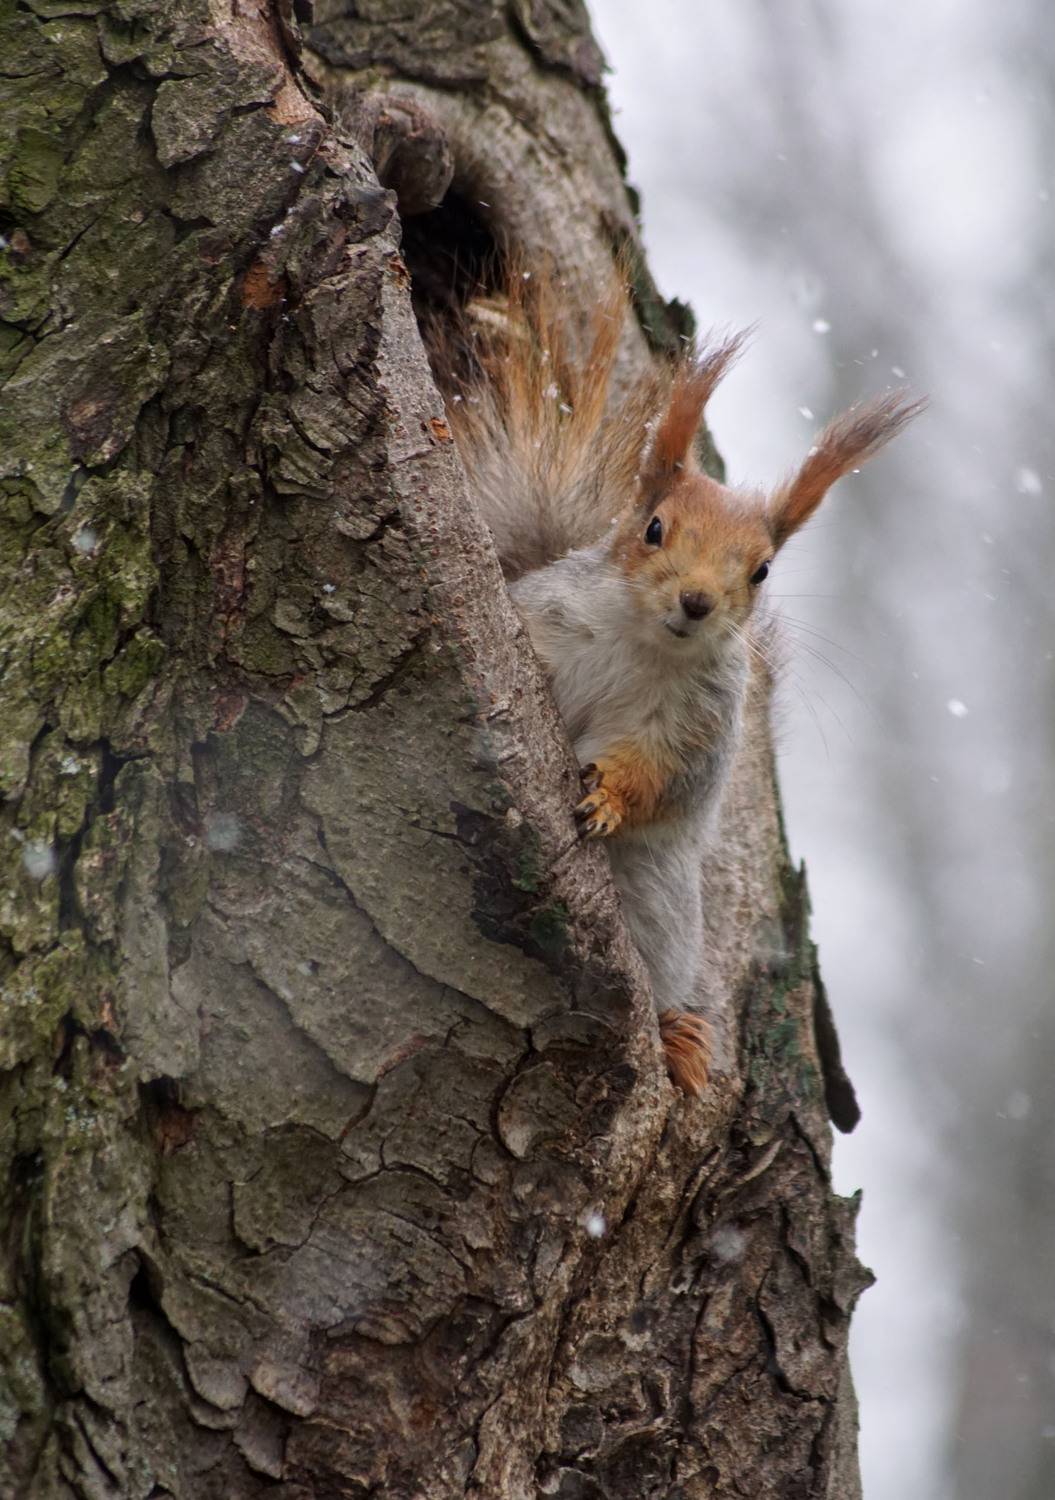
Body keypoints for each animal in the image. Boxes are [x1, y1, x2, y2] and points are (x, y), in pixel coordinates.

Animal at [438, 272, 922, 1095]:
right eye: (654, 529)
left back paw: (675, 1037)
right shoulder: (543, 619)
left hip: (660, 908)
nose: (696, 602)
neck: (645, 644)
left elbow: (663, 774)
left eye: (761, 571)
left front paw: (607, 795)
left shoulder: (702, 722)